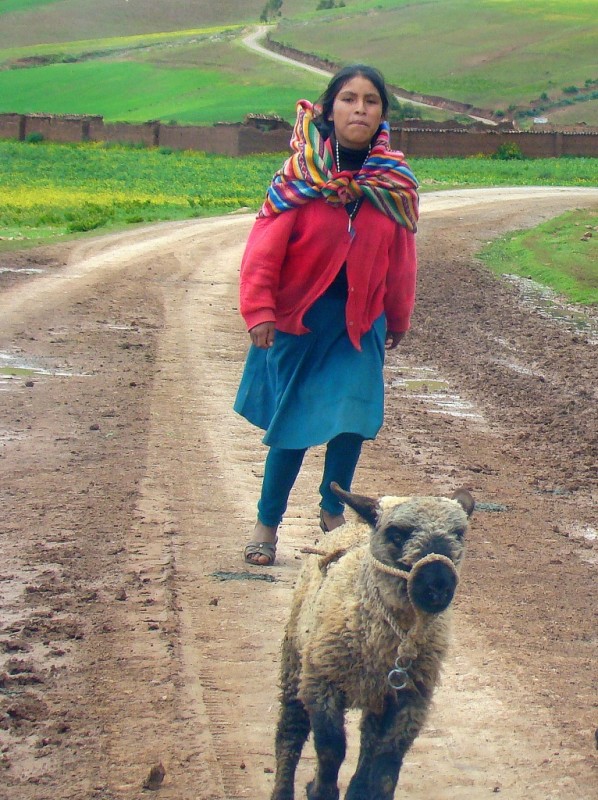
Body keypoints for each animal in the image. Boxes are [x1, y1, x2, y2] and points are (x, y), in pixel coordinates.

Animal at [270, 482, 474, 800]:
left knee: (368, 745)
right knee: (290, 733)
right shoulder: (321, 683)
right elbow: (331, 748)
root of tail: (353, 525)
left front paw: (363, 791)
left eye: (459, 534)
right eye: (397, 534)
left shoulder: (412, 699)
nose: (438, 586)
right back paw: (282, 789)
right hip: (295, 663)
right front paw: (320, 790)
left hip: (379, 697)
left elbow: (386, 765)